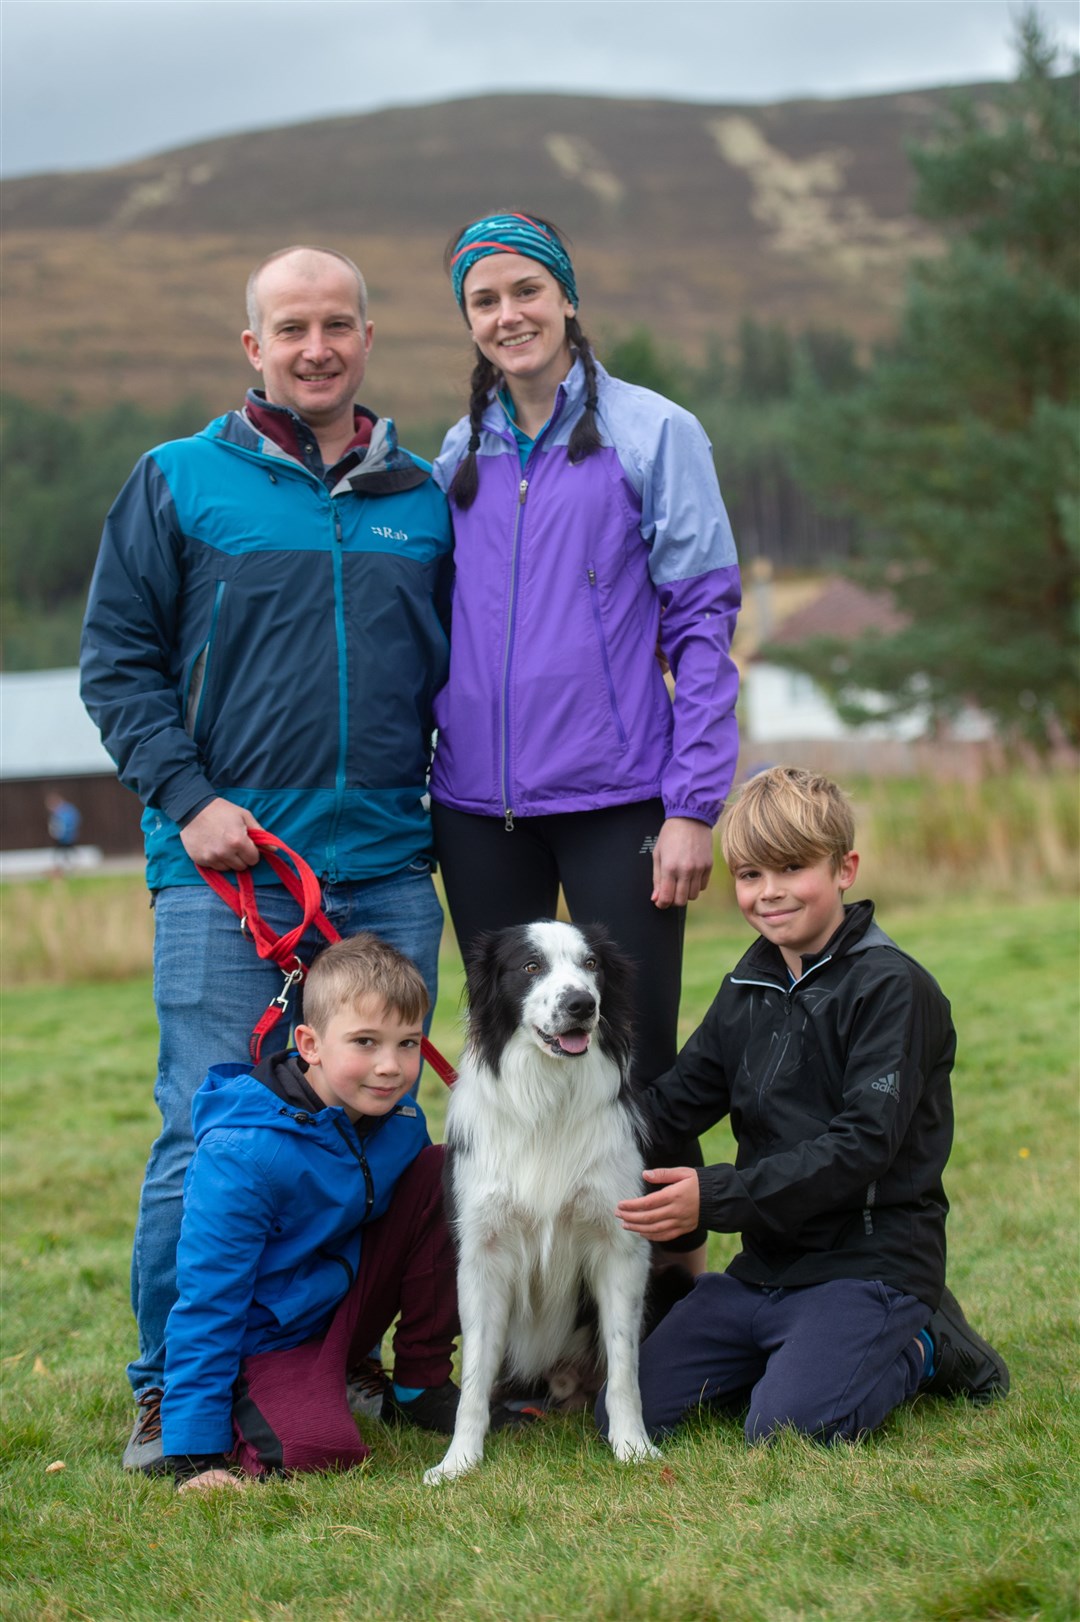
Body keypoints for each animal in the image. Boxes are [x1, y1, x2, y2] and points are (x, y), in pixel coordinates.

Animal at [421, 921, 655, 1485]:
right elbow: (474, 1374)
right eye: (531, 967)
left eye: (592, 965)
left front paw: (633, 1446)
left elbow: (623, 1364)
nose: (581, 1004)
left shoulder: (621, 1244)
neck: (549, 1096)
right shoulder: (482, 1252)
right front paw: (459, 1461)